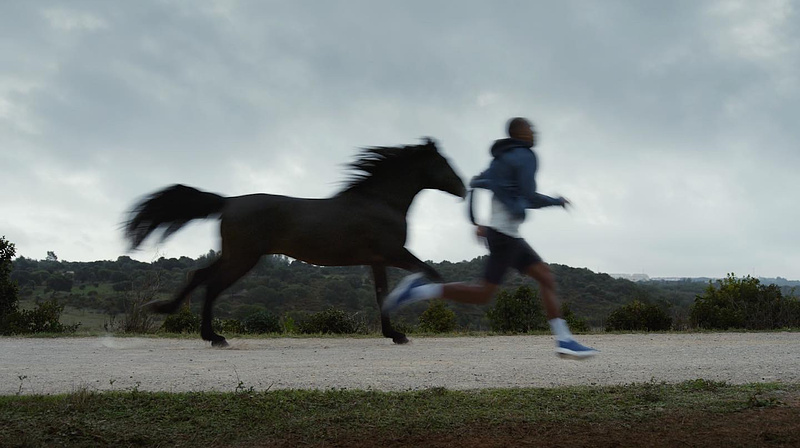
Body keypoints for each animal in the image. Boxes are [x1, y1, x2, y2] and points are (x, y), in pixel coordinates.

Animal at [124, 139, 466, 347]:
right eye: (444, 162)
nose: (463, 189)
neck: (380, 202)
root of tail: (227, 202)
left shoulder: (377, 260)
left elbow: (382, 294)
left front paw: (394, 334)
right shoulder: (394, 253)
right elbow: (430, 273)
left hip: (234, 254)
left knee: (198, 276)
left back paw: (171, 312)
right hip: (243, 257)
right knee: (212, 285)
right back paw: (215, 336)